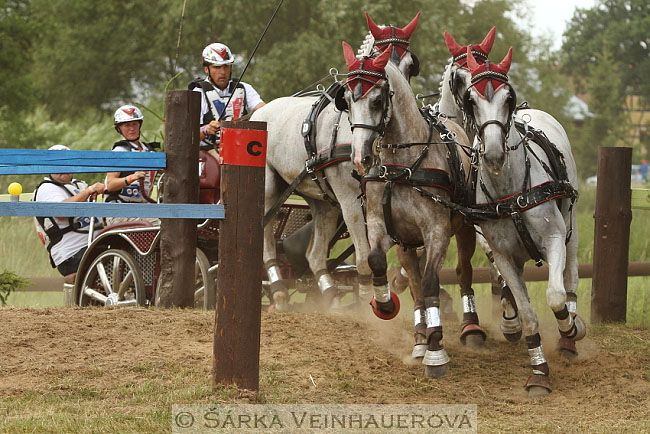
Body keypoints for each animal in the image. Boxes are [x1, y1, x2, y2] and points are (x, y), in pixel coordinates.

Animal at [248, 11, 420, 310]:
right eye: (379, 56)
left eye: (410, 65)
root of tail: (261, 112)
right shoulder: (349, 199)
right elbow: (364, 258)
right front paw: (365, 306)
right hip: (271, 189)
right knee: (267, 238)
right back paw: (279, 291)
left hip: (323, 202)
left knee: (314, 254)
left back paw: (329, 296)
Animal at [464, 46, 584, 396]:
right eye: (471, 100)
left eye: (508, 97)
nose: (493, 154)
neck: (511, 193)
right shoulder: (502, 255)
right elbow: (528, 312)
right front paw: (539, 371)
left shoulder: (555, 240)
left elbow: (556, 296)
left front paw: (570, 328)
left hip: (571, 229)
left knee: (570, 279)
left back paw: (571, 334)